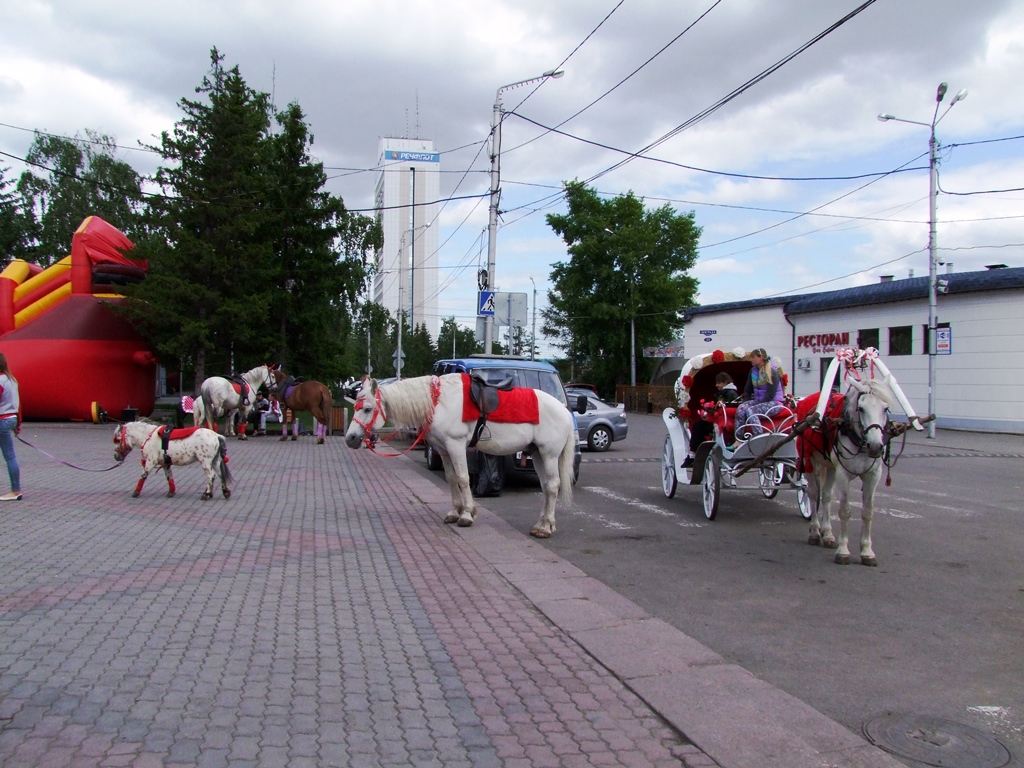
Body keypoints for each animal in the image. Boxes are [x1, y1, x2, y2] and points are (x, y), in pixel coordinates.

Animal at [346, 376, 577, 536]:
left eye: (367, 409)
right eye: (356, 406)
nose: (350, 439)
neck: (439, 402)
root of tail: (564, 410)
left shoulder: (455, 446)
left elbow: (463, 479)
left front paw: (466, 515)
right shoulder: (443, 449)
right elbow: (451, 479)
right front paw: (455, 512)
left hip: (549, 454)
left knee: (553, 486)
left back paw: (545, 528)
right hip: (537, 454)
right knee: (546, 487)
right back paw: (542, 524)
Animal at [802, 378, 892, 565]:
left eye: (885, 408)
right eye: (861, 408)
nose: (875, 446)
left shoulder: (873, 475)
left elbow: (868, 512)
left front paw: (867, 551)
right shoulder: (843, 475)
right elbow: (844, 511)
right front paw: (843, 551)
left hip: (829, 466)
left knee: (826, 496)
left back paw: (828, 534)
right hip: (809, 461)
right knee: (813, 494)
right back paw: (814, 531)